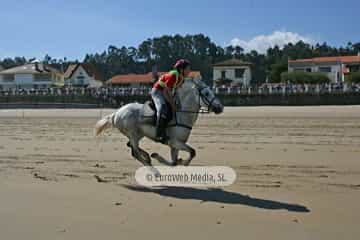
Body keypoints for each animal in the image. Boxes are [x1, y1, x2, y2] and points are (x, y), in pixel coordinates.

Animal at [94, 78, 224, 165]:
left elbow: (175, 161)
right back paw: (152, 168)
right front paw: (182, 162)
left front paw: (159, 157)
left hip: (139, 134)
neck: (182, 114)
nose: (220, 108)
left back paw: (148, 156)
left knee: (130, 146)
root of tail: (117, 113)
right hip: (133, 134)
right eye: (207, 93)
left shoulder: (175, 146)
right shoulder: (174, 142)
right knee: (134, 152)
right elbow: (192, 152)